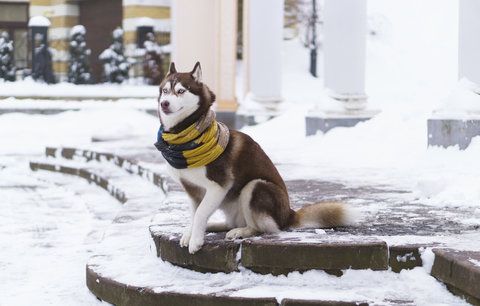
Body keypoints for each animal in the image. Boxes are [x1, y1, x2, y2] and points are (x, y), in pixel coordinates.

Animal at [158, 61, 352, 253]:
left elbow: (200, 213)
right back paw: (214, 225)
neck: (184, 139)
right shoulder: (193, 190)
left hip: (255, 186)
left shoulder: (219, 186)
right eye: (165, 90)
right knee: (231, 223)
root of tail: (288, 214)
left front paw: (196, 241)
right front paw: (190, 233)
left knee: (264, 227)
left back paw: (241, 231)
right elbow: (194, 214)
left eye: (181, 91)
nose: (164, 103)